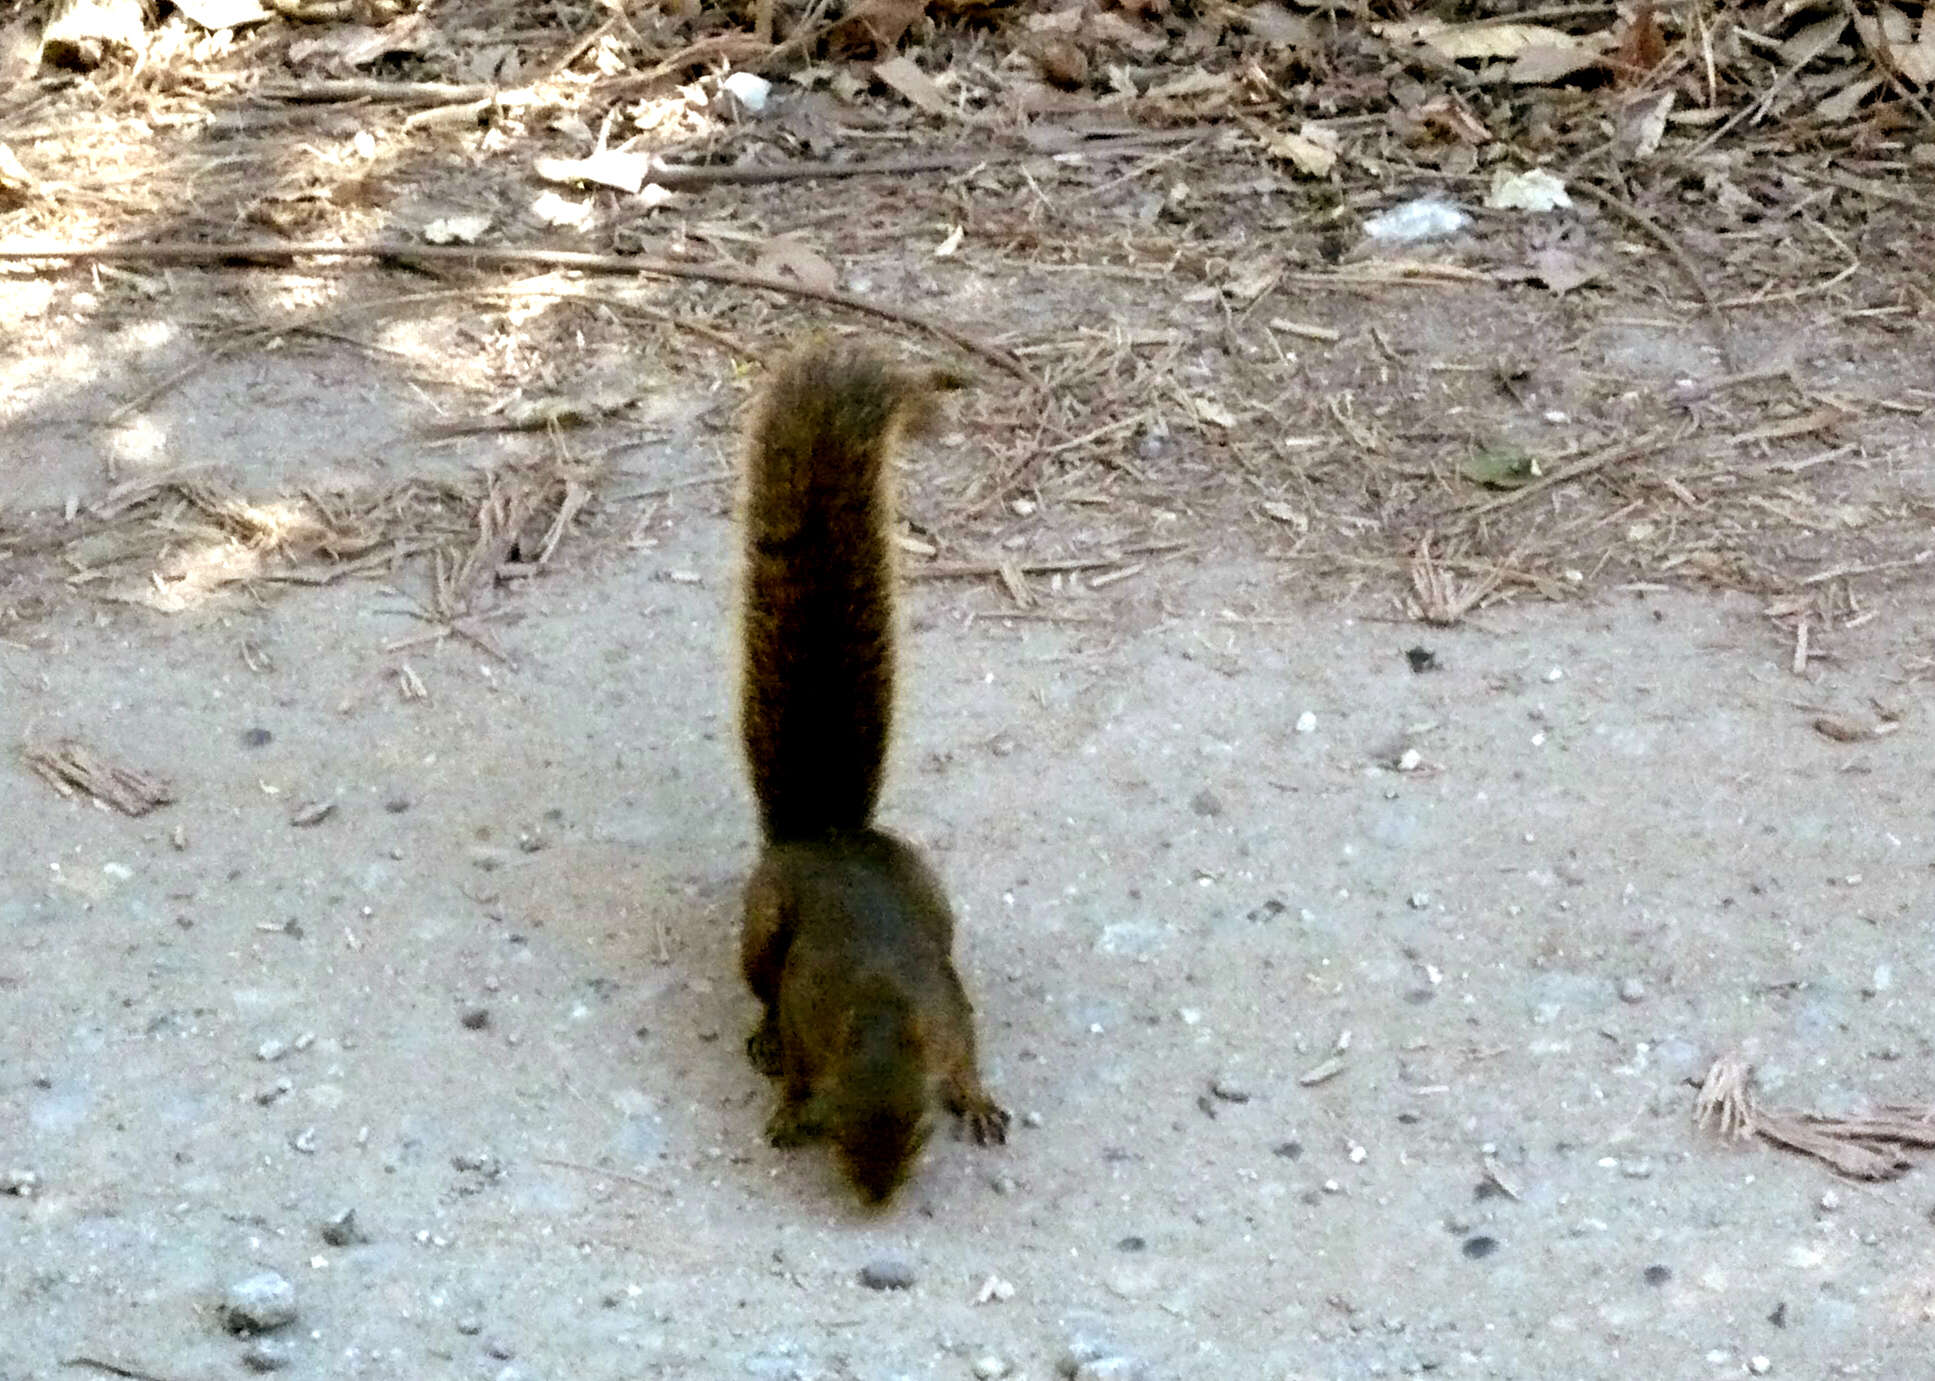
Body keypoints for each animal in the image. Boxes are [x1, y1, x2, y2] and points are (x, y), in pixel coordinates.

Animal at [731, 338, 1013, 1199]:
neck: (883, 1011)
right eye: (835, 1126)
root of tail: (824, 832)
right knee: (759, 987)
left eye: (920, 1129)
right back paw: (760, 1036)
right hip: (760, 929)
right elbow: (794, 1054)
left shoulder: (948, 1012)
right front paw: (787, 1105)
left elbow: (967, 1051)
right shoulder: (808, 1011)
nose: (877, 1198)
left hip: (934, 893)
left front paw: (977, 1097)